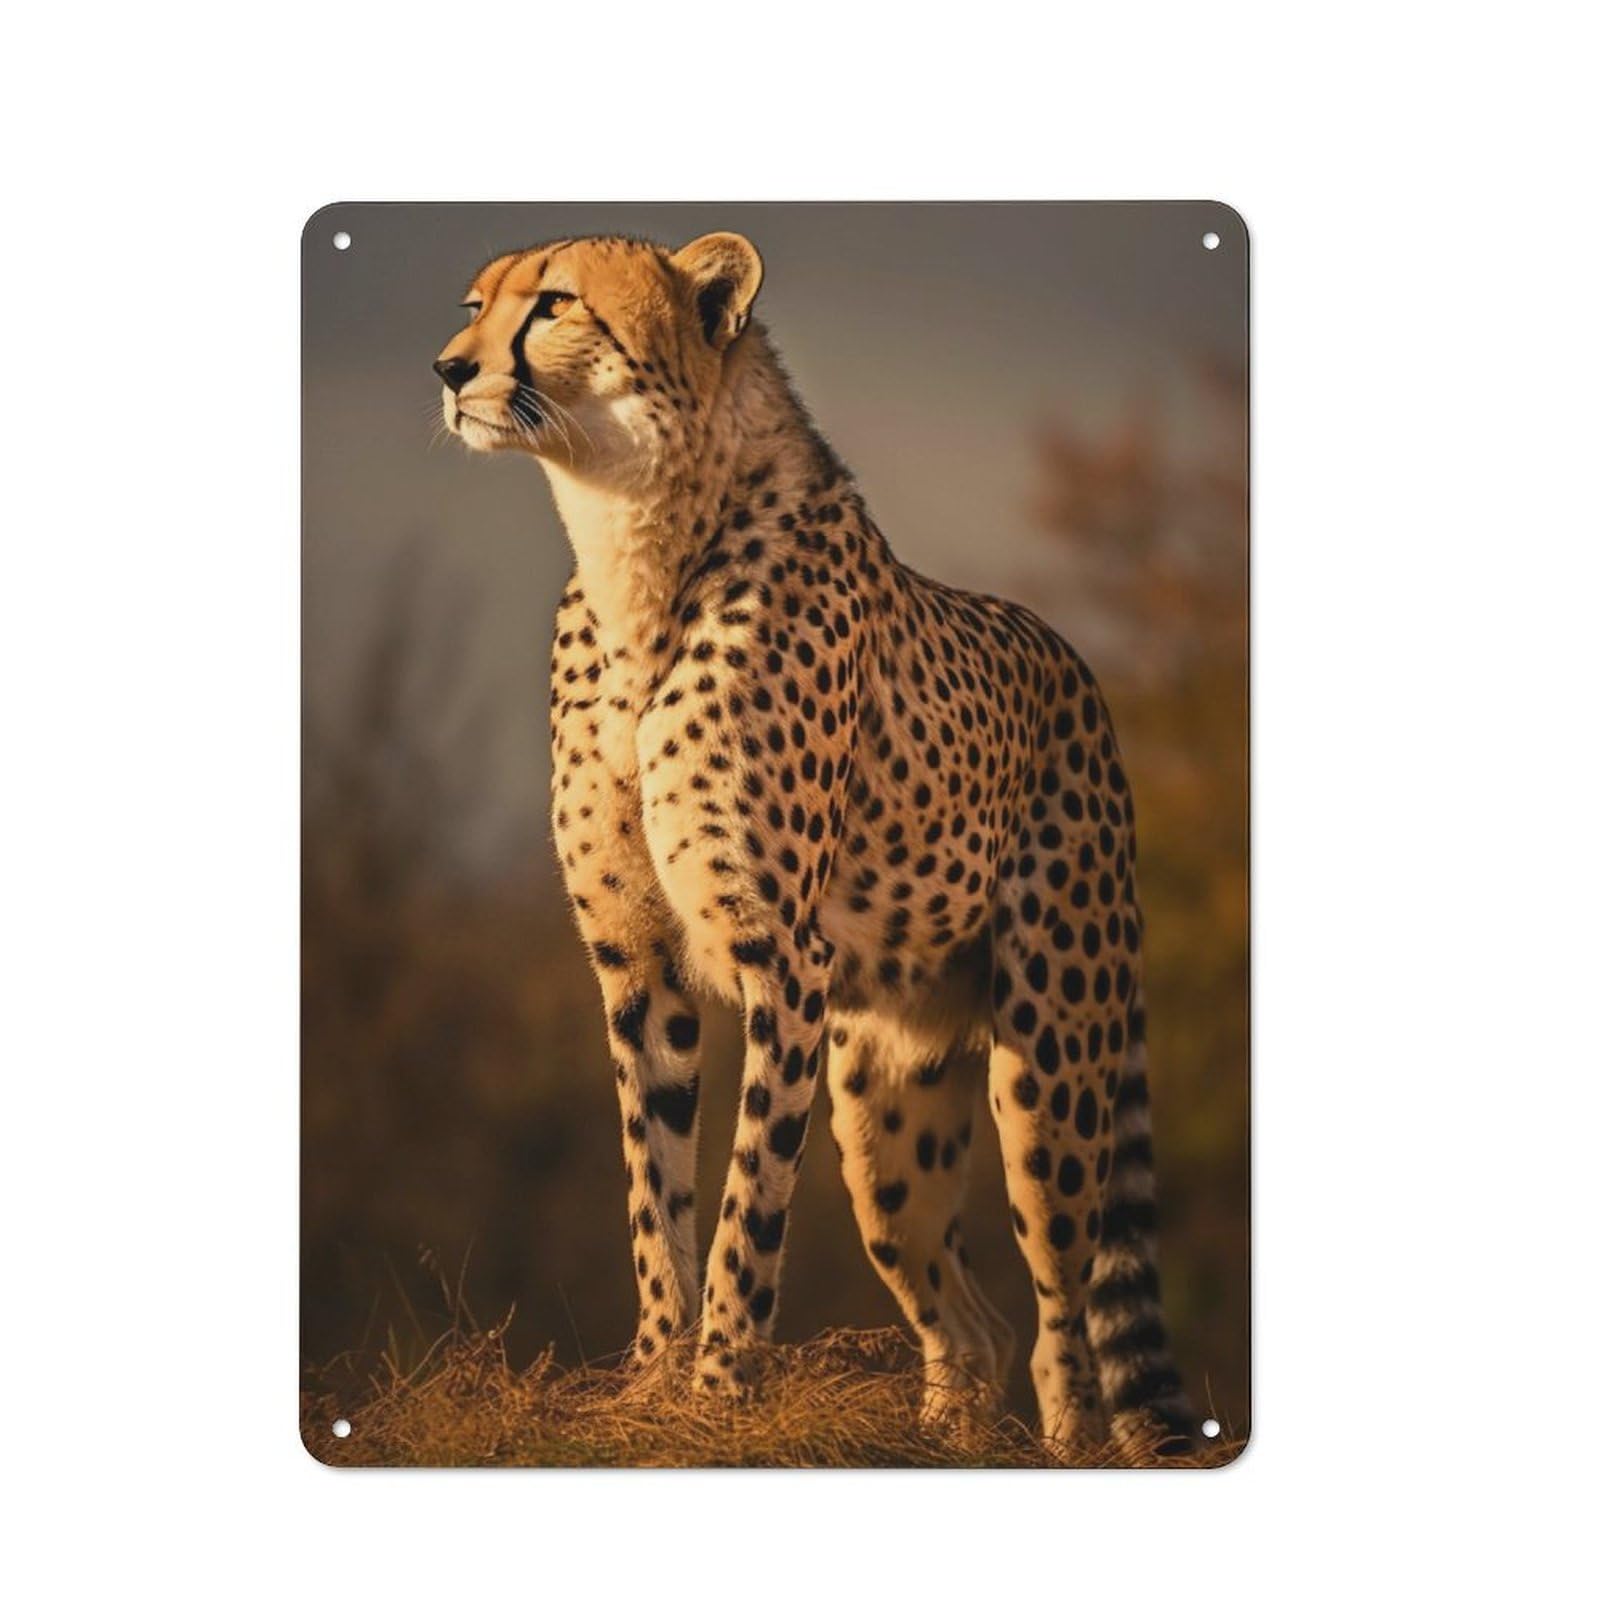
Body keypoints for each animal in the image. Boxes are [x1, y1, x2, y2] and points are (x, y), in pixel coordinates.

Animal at [432, 230, 1197, 1456]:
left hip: (1048, 1063)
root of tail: (1075, 664)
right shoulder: (636, 963)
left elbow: (747, 1203)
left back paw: (1068, 1440)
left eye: (552, 304)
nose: (451, 369)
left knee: (1061, 1307)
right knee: (966, 1318)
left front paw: (714, 1394)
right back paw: (942, 1437)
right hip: (887, 1107)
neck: (633, 545)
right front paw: (651, 1382)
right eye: (474, 303)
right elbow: (654, 1190)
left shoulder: (779, 957)